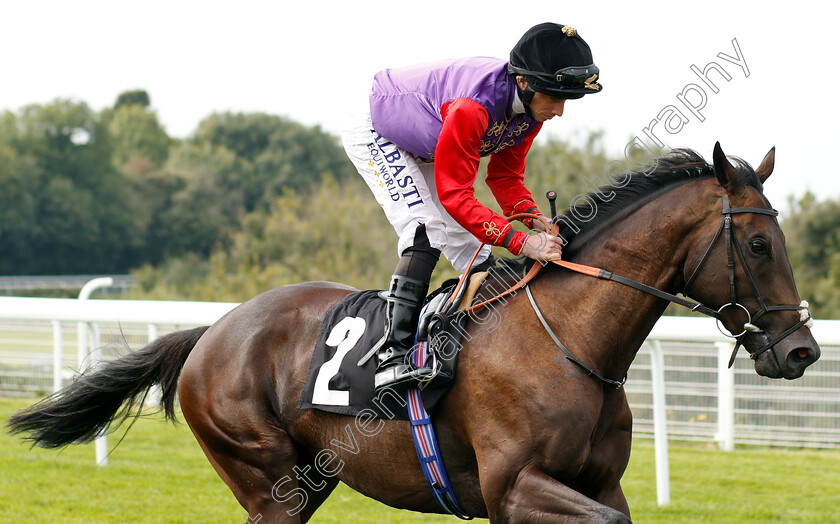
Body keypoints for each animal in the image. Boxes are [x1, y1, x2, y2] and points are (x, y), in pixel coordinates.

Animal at [6, 141, 820, 520]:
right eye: (757, 246)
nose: (802, 350)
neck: (566, 342)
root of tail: (213, 330)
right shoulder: (515, 489)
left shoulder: (598, 484)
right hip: (268, 480)